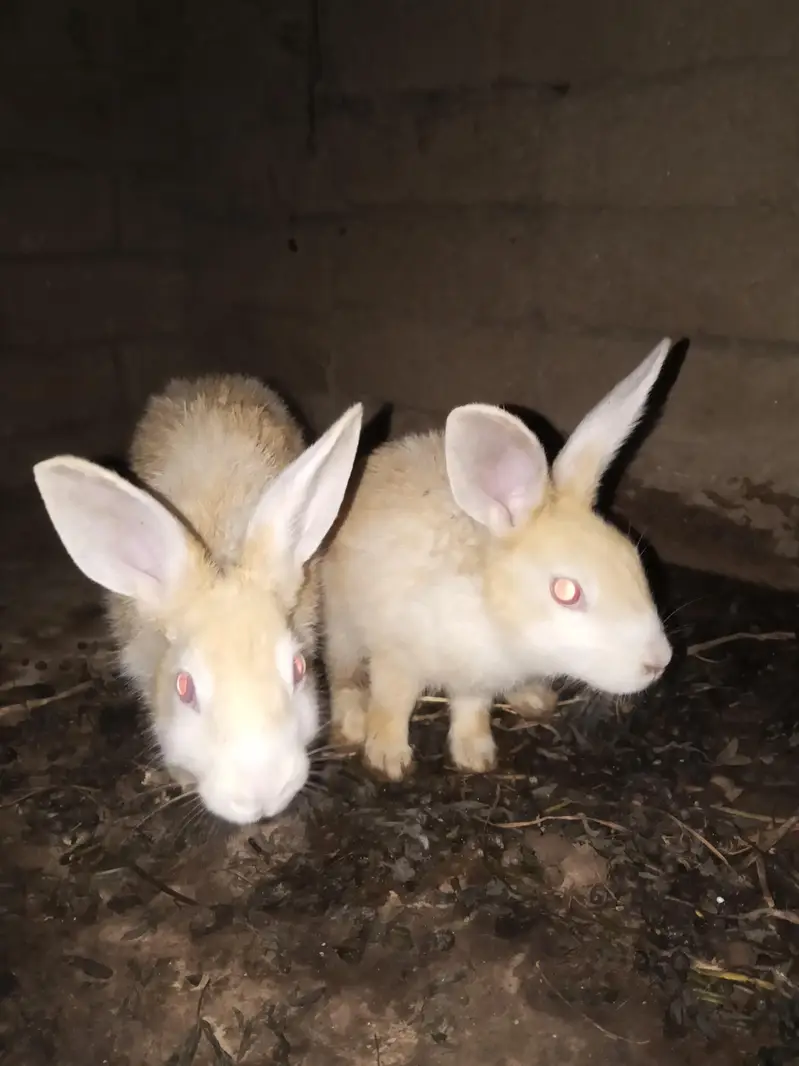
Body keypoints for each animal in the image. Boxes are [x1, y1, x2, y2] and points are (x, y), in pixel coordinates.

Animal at [322, 339, 674, 782]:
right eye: (566, 591)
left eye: (633, 559)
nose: (659, 662)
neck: (491, 611)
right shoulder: (395, 654)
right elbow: (391, 704)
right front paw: (388, 758)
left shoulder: (477, 682)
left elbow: (471, 710)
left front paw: (476, 756)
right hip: (342, 625)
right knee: (343, 675)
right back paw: (352, 726)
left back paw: (533, 697)